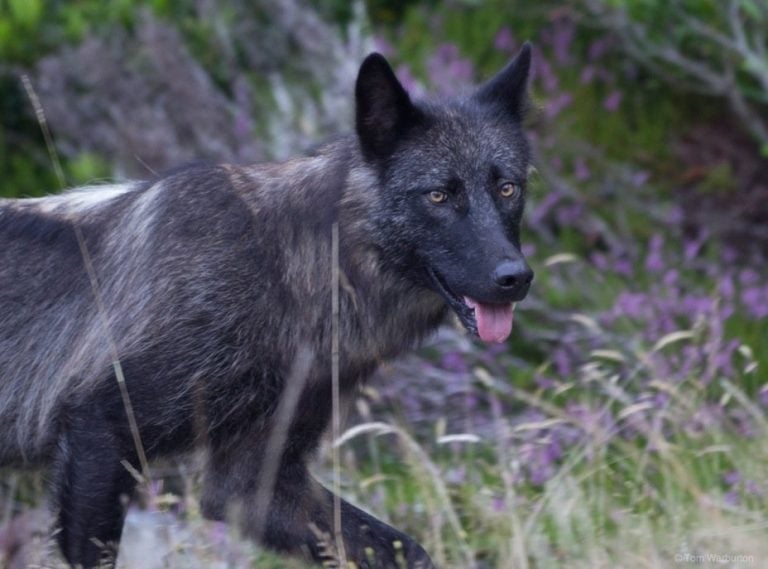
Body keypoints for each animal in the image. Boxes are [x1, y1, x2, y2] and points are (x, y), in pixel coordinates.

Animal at [0, 44, 536, 568]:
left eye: (507, 188)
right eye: (440, 195)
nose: (515, 278)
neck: (282, 273)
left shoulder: (252, 484)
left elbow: (406, 551)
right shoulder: (100, 428)